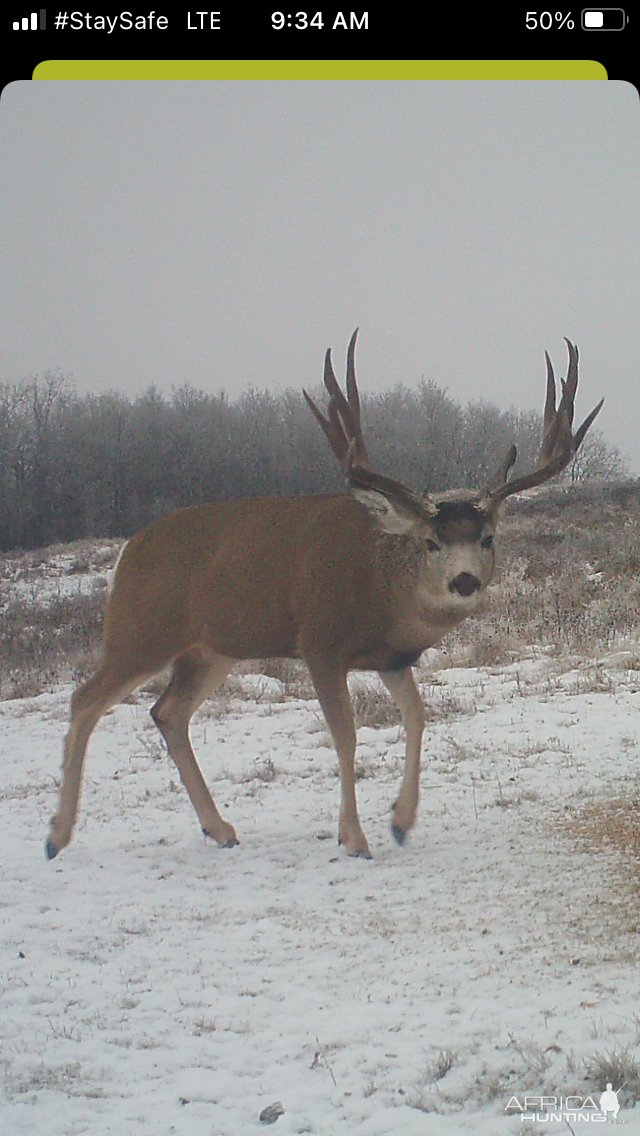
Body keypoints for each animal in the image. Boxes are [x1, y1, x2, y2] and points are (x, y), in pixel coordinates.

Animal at [47, 331, 604, 854]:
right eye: (431, 541)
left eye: (487, 538)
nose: (463, 580)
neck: (382, 591)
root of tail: (128, 551)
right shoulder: (320, 642)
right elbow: (347, 736)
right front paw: (355, 838)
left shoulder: (392, 658)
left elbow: (418, 718)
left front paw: (401, 822)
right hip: (141, 629)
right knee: (85, 699)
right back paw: (57, 836)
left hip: (212, 649)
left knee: (167, 713)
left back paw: (220, 828)